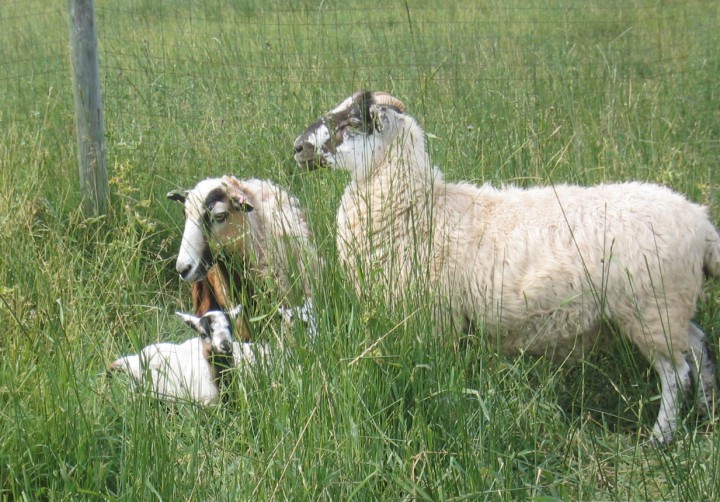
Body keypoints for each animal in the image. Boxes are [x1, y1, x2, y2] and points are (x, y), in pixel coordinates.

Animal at [292, 90, 720, 445]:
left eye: (349, 122)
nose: (297, 147)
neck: (418, 210)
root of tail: (701, 223)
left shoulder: (436, 321)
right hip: (671, 307)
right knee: (699, 348)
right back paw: (707, 410)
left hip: (650, 306)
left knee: (675, 374)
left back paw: (660, 438)